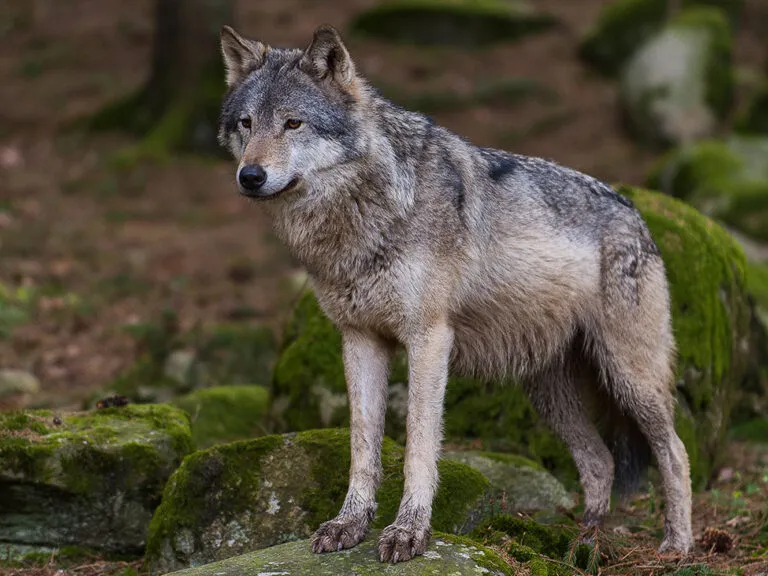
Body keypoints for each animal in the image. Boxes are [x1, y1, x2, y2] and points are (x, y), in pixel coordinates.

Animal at [217, 24, 693, 563]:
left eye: (293, 123)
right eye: (246, 123)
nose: (250, 176)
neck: (368, 212)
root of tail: (636, 214)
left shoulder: (429, 339)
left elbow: (419, 446)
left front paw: (408, 532)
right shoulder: (360, 340)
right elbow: (363, 447)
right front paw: (349, 525)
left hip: (629, 377)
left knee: (675, 452)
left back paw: (676, 545)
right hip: (550, 394)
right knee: (600, 461)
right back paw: (581, 545)